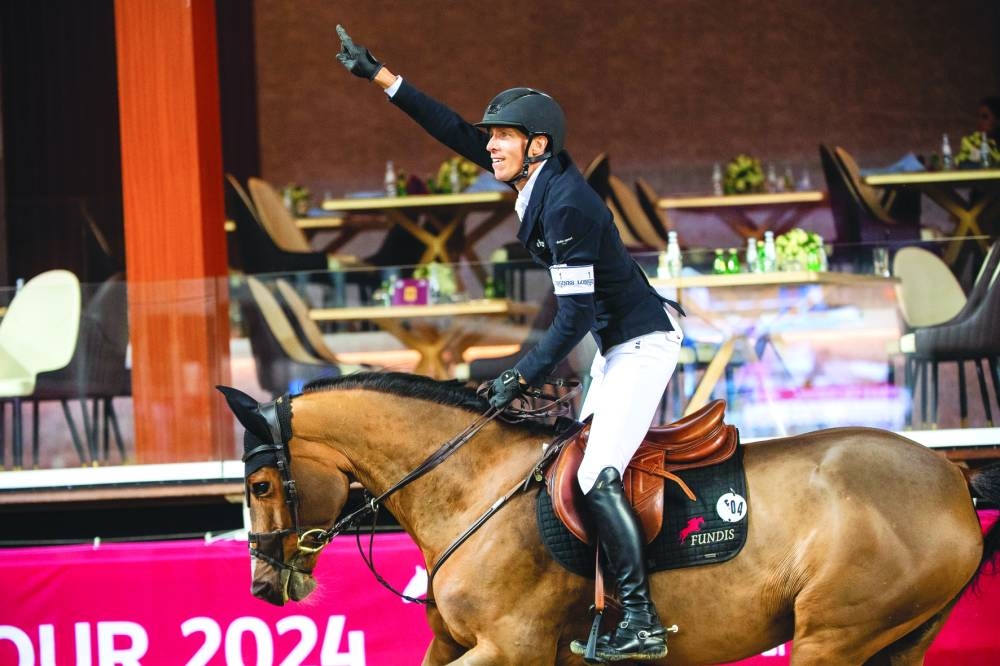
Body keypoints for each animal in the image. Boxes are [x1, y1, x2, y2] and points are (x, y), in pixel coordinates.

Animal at [219, 372, 1000, 665]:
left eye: (260, 482)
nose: (261, 585)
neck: (471, 487)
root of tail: (950, 475)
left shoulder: (512, 649)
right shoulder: (452, 644)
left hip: (833, 637)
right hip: (894, 641)